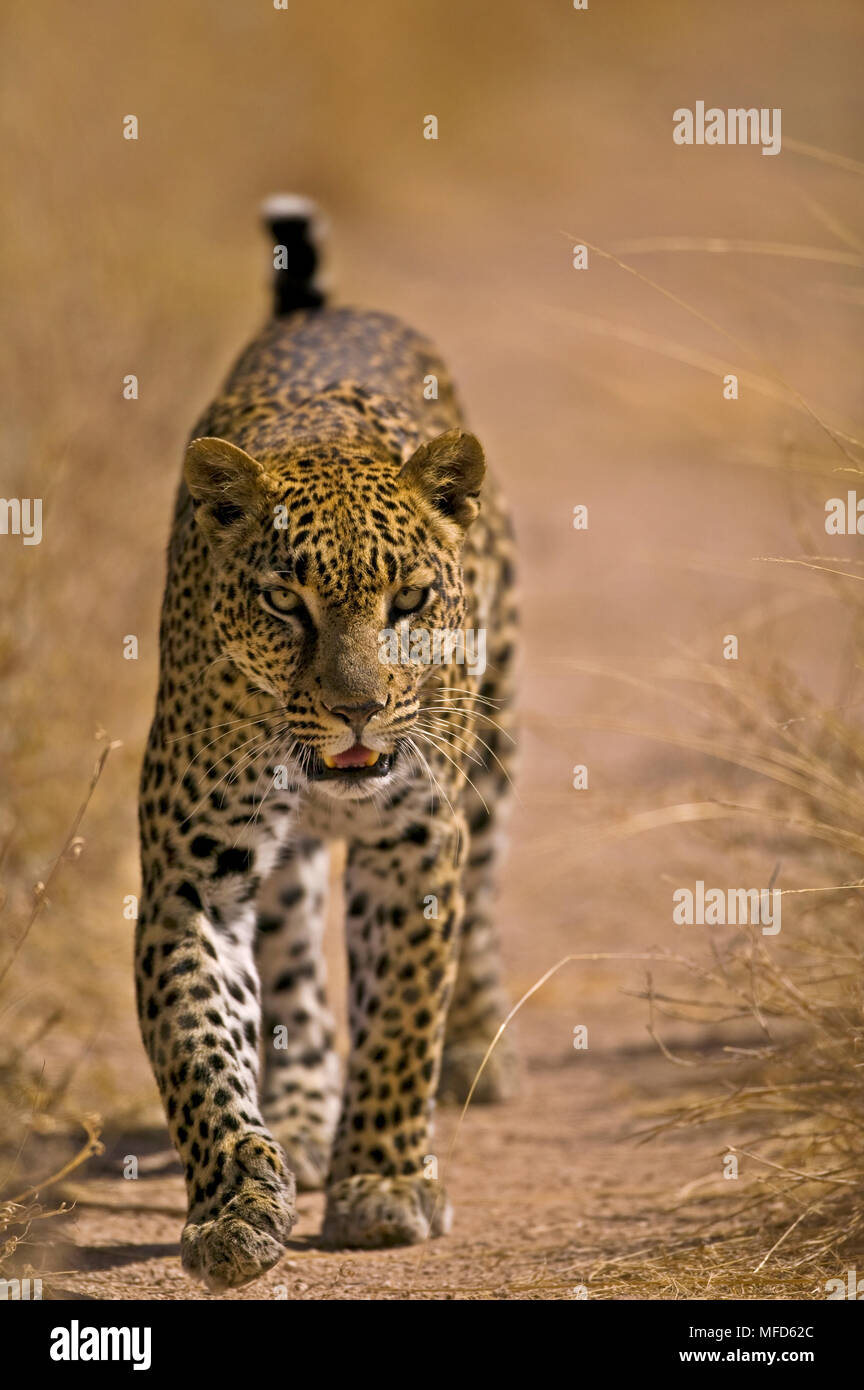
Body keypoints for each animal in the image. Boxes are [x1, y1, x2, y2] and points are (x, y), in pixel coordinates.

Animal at [136, 195, 519, 1292]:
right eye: (284, 604)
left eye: (410, 601)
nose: (357, 708)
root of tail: (328, 310)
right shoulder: (192, 875)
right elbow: (199, 1048)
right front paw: (232, 1210)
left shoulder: (417, 844)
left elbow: (401, 1015)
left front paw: (383, 1186)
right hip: (285, 862)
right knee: (298, 971)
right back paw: (303, 1115)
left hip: (498, 747)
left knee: (484, 901)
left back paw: (475, 1046)